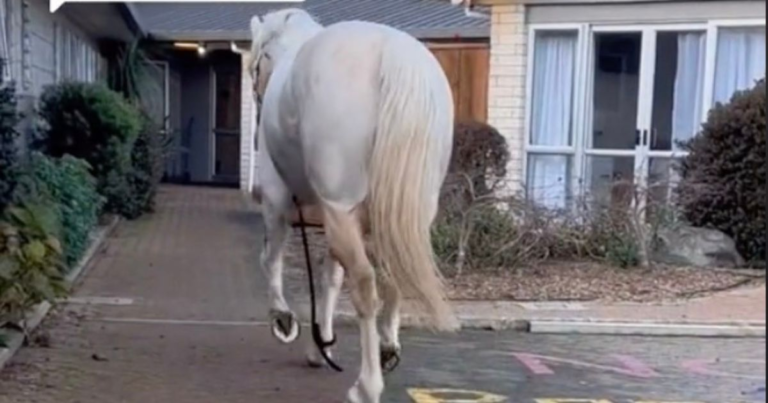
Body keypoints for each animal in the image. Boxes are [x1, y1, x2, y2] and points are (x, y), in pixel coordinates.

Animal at [247, 9, 459, 403]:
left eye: (256, 63)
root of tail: (393, 53)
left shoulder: (277, 198)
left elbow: (271, 257)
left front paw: (283, 319)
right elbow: (331, 277)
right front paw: (321, 346)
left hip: (338, 208)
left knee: (364, 285)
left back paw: (367, 384)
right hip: (399, 213)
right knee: (392, 275)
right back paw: (387, 348)